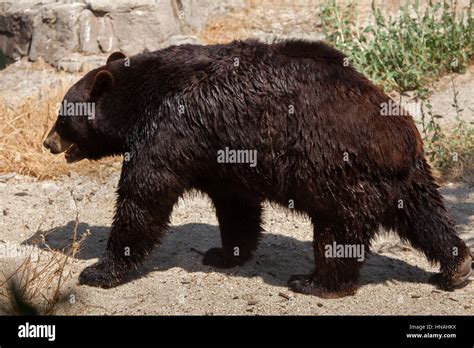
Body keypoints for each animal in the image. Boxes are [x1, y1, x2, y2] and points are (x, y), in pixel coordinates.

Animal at [43, 40, 470, 296]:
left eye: (63, 116)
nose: (47, 142)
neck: (142, 100)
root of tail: (398, 135)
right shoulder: (219, 152)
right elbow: (237, 206)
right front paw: (224, 252)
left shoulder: (170, 133)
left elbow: (143, 199)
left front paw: (98, 270)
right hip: (405, 177)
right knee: (427, 217)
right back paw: (456, 265)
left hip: (335, 170)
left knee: (337, 230)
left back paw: (314, 282)